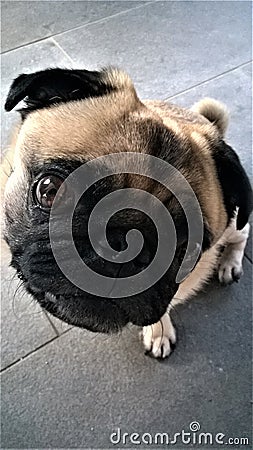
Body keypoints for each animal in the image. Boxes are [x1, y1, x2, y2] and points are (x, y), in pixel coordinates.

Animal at [1, 67, 251, 360]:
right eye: (49, 190)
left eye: (189, 249)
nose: (126, 248)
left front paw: (159, 331)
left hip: (234, 227)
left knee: (242, 233)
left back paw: (230, 263)